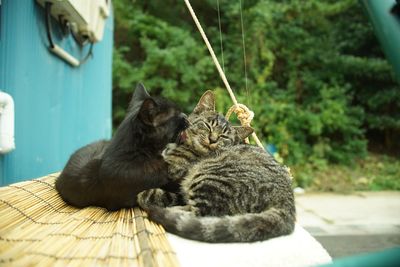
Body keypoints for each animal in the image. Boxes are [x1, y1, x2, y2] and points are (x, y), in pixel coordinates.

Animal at [138, 91, 296, 244]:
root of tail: (287, 200)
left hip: (209, 178)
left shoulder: (172, 172)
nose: (212, 139)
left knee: (200, 215)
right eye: (208, 125)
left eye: (224, 137)